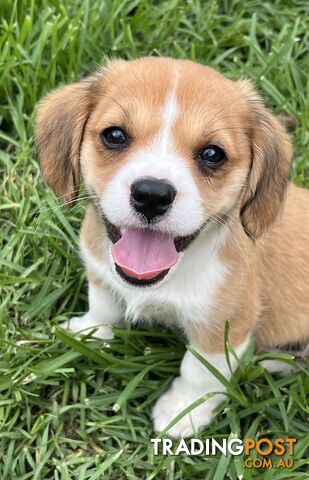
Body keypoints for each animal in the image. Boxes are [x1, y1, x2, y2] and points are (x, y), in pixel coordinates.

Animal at [36, 57, 308, 438]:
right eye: (115, 135)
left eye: (212, 154)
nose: (152, 194)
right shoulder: (101, 273)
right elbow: (103, 307)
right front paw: (89, 333)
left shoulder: (224, 327)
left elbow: (199, 374)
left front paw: (183, 412)